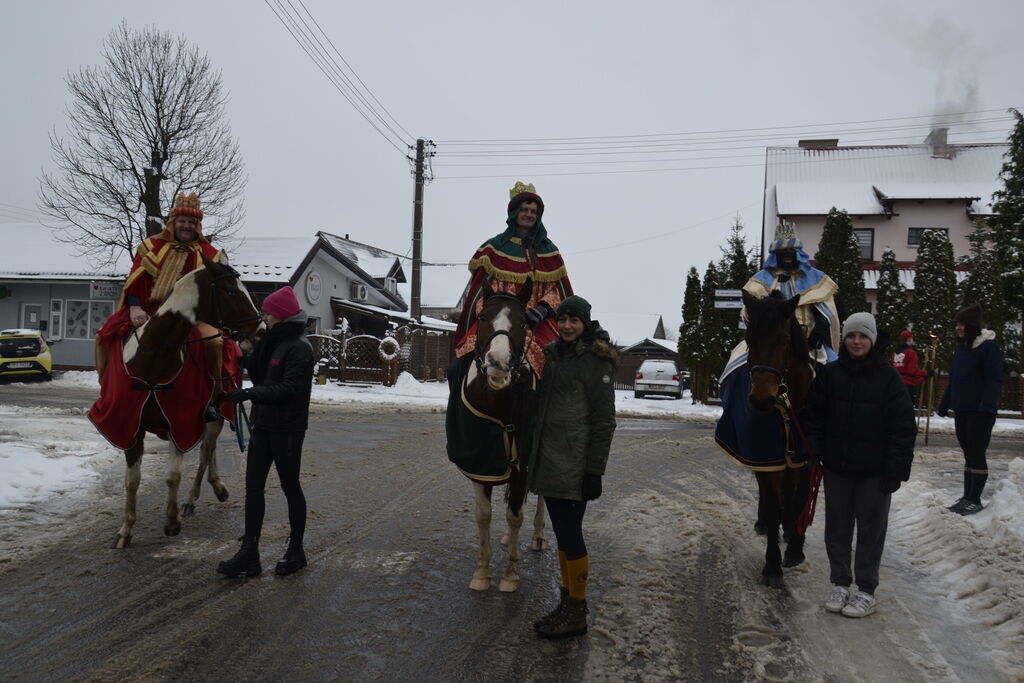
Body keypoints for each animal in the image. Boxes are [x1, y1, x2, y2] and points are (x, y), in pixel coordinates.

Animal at [91, 255, 264, 548]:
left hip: (216, 412)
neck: (153, 361)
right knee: (209, 449)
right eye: (231, 291)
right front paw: (125, 529)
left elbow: (173, 476)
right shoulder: (130, 428)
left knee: (206, 450)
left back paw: (196, 497)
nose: (261, 331)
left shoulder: (179, 425)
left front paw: (171, 522)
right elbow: (132, 480)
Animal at [446, 278, 544, 593]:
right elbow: (484, 515)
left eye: (523, 322)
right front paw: (481, 571)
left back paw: (537, 535)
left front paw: (510, 574)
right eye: (483, 318)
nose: (497, 363)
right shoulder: (481, 465)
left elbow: (514, 516)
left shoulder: (523, 465)